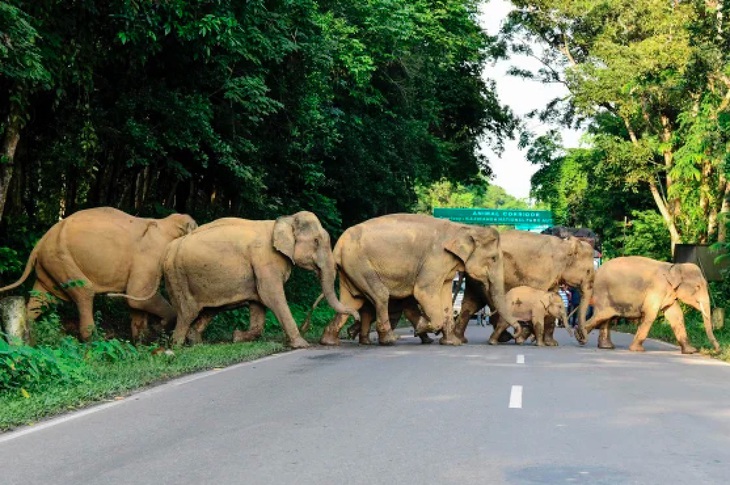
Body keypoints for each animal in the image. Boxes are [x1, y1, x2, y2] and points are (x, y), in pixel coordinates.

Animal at [0, 207, 198, 340]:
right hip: (61, 258)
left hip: (50, 264)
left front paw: (141, 341)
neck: (168, 223)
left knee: (40, 299)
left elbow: (136, 304)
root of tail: (40, 243)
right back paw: (93, 342)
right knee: (84, 292)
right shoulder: (151, 256)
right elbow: (137, 295)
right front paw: (160, 327)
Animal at [154, 210, 358, 346]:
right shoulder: (265, 259)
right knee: (186, 312)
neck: (283, 221)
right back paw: (177, 346)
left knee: (209, 310)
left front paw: (237, 337)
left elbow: (258, 302)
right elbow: (271, 295)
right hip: (177, 276)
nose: (355, 319)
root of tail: (169, 249)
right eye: (316, 241)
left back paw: (195, 341)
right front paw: (301, 345)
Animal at [318, 214, 516, 346]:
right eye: (494, 259)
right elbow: (423, 292)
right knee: (380, 295)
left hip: (350, 268)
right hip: (358, 262)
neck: (463, 228)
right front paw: (422, 327)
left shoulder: (445, 266)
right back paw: (389, 340)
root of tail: (338, 245)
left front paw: (451, 343)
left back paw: (328, 341)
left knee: (350, 301)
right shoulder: (435, 258)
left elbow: (444, 297)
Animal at [452, 231, 596, 344]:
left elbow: (553, 296)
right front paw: (528, 336)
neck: (564, 246)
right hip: (487, 276)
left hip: (476, 280)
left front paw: (551, 343)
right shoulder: (541, 273)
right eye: (588, 271)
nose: (580, 338)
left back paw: (461, 339)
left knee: (471, 304)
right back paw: (505, 337)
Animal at [572, 255, 720, 354]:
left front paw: (690, 351)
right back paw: (579, 335)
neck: (674, 267)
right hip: (603, 293)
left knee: (608, 317)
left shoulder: (669, 293)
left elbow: (676, 316)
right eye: (698, 287)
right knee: (604, 314)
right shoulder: (657, 289)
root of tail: (596, 272)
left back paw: (605, 346)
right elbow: (650, 314)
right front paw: (637, 350)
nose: (717, 350)